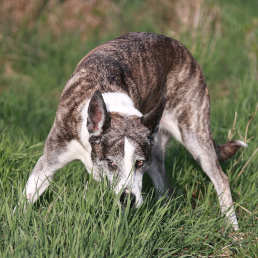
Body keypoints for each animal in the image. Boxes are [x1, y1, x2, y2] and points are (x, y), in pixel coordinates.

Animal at [15, 31, 246, 230]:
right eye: (111, 163)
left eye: (139, 163)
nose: (128, 199)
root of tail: (179, 45)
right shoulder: (50, 159)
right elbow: (28, 195)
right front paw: (16, 227)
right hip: (158, 146)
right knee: (164, 183)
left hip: (193, 131)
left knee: (220, 178)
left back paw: (233, 230)